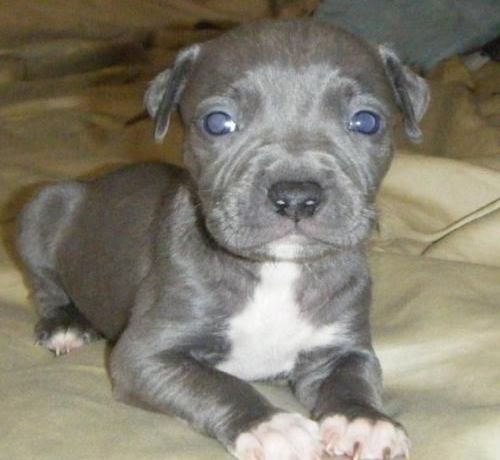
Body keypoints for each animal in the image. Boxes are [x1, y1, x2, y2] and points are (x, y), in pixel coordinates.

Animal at [17, 18, 428, 460]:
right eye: (218, 123)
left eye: (366, 122)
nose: (296, 195)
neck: (278, 269)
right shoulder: (144, 355)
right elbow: (218, 383)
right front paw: (270, 424)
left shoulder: (342, 347)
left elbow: (356, 377)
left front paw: (366, 421)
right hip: (43, 208)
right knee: (46, 284)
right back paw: (66, 324)